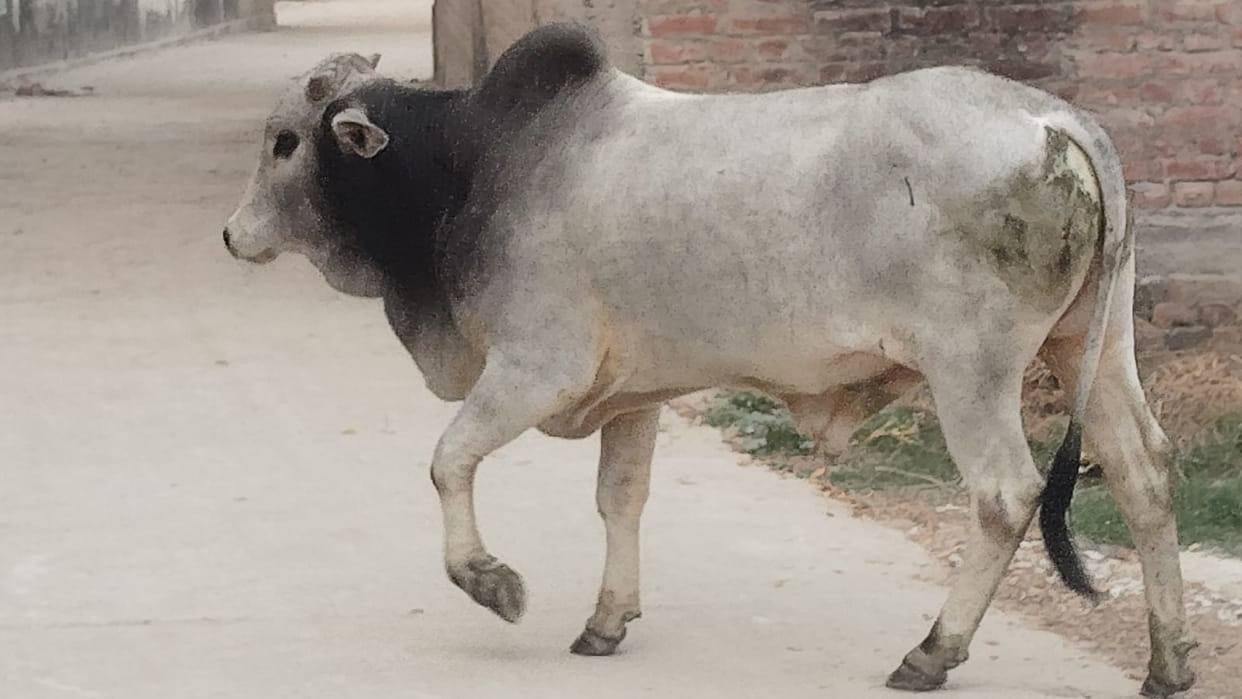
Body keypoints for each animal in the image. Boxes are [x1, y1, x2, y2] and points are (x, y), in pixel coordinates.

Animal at [222, 23, 1196, 696]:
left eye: (284, 141)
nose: (232, 236)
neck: (468, 165)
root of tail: (1056, 119)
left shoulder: (537, 369)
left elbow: (447, 459)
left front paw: (491, 582)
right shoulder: (633, 393)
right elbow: (619, 499)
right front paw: (606, 621)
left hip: (972, 370)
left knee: (1005, 496)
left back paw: (931, 652)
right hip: (1096, 346)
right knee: (1144, 472)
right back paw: (1168, 661)